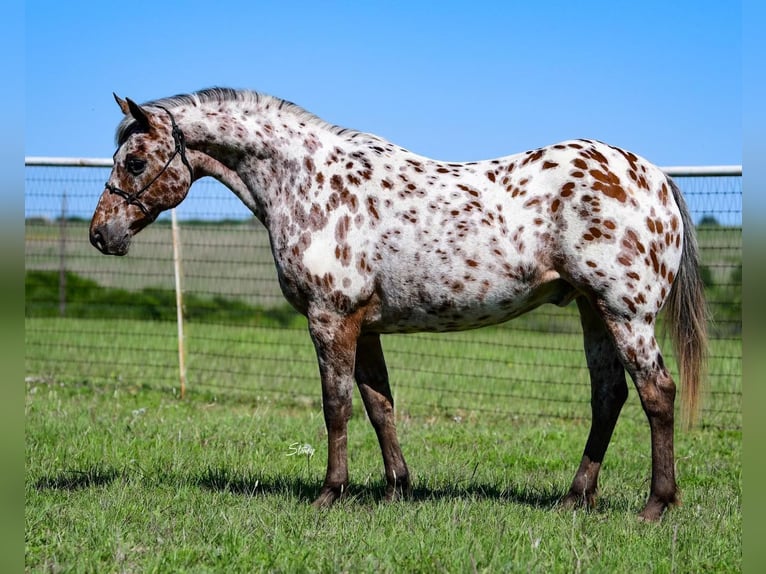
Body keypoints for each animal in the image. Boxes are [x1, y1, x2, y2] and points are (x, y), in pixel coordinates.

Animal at [88, 89, 708, 520]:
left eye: (134, 162)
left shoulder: (331, 319)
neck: (310, 184)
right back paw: (575, 498)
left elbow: (336, 407)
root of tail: (654, 177)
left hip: (626, 315)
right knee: (608, 397)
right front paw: (396, 490)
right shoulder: (365, 327)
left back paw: (656, 504)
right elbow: (379, 405)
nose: (100, 235)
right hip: (592, 311)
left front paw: (329, 494)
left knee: (657, 393)